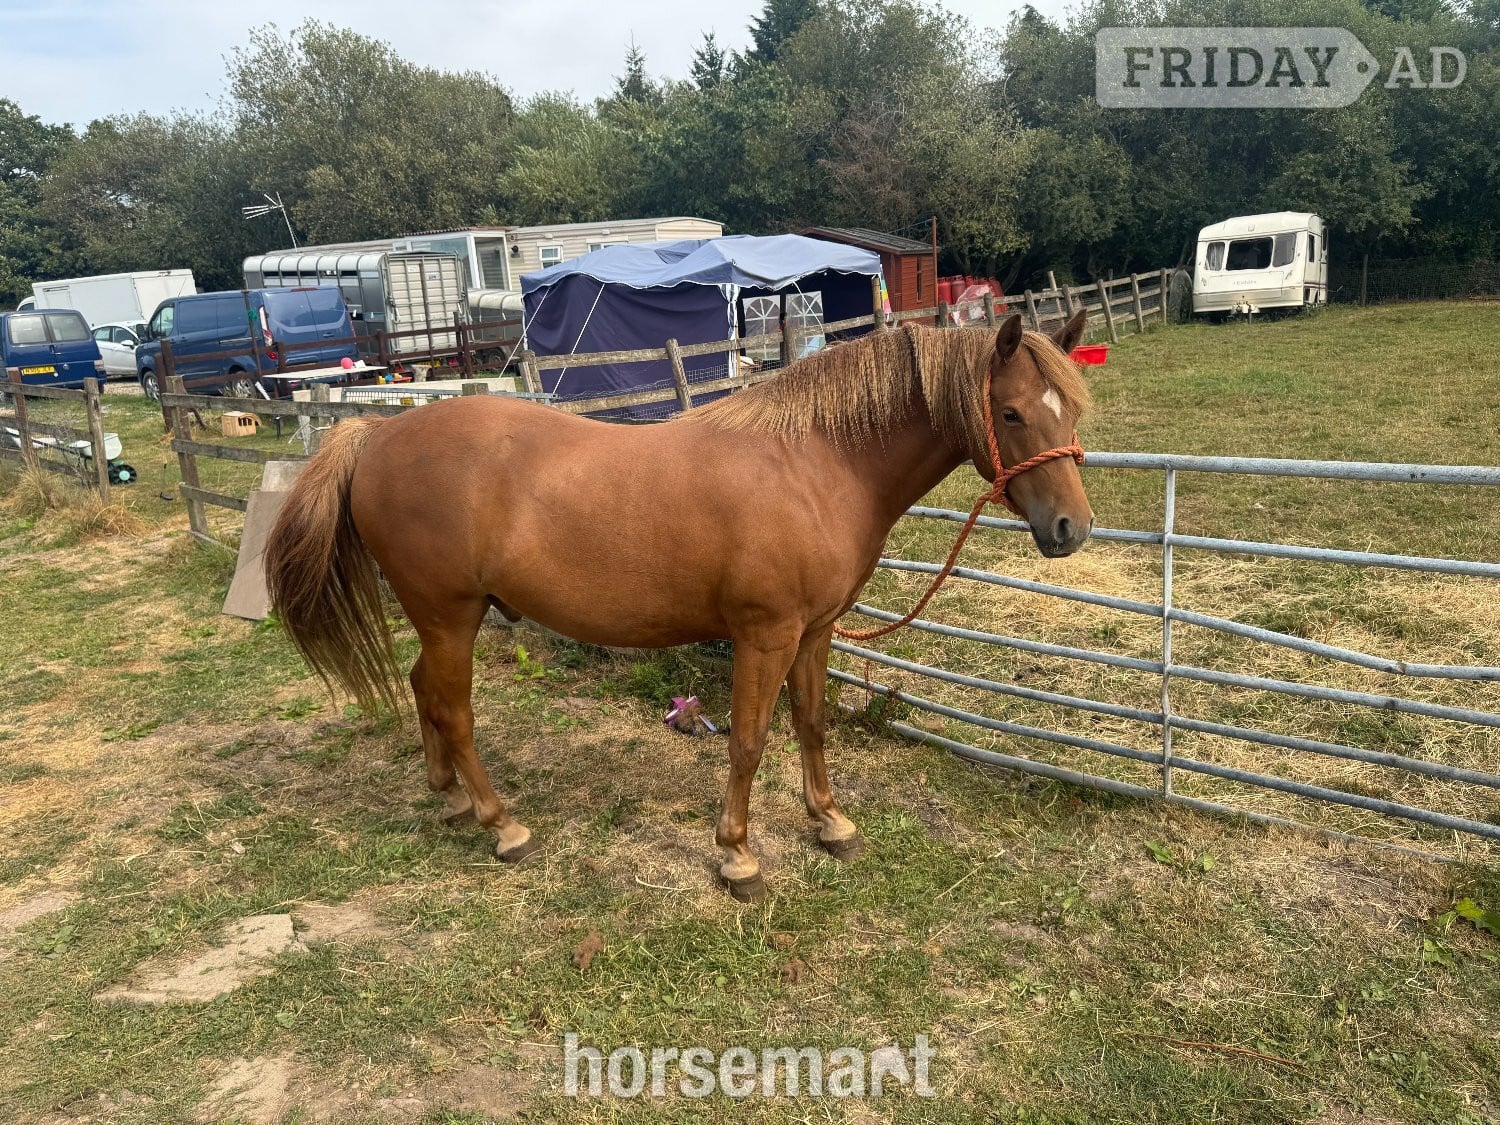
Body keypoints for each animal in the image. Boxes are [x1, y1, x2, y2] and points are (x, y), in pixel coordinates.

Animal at [264, 311, 1095, 901]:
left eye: (1073, 412)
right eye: (1012, 413)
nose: (1072, 529)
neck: (816, 461)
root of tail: (376, 432)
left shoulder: (815, 630)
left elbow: (812, 723)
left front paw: (829, 820)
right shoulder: (765, 635)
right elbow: (749, 742)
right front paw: (738, 855)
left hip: (439, 621)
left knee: (422, 692)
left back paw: (450, 801)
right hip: (451, 616)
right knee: (453, 709)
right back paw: (504, 825)